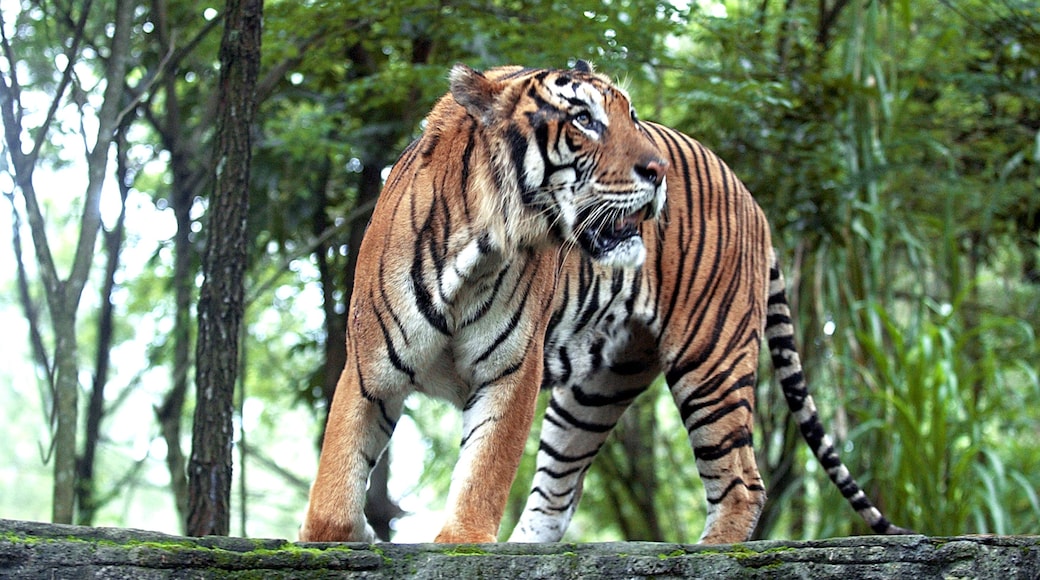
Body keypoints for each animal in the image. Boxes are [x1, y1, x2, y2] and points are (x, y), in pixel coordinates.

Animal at [300, 61, 908, 544]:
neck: (479, 248)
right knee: (555, 498)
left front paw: (462, 543)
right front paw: (342, 534)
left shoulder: (510, 373)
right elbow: (336, 483)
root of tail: (749, 194)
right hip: (593, 394)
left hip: (711, 360)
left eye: (629, 115)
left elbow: (482, 476)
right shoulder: (369, 369)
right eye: (584, 120)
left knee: (742, 481)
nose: (658, 171)